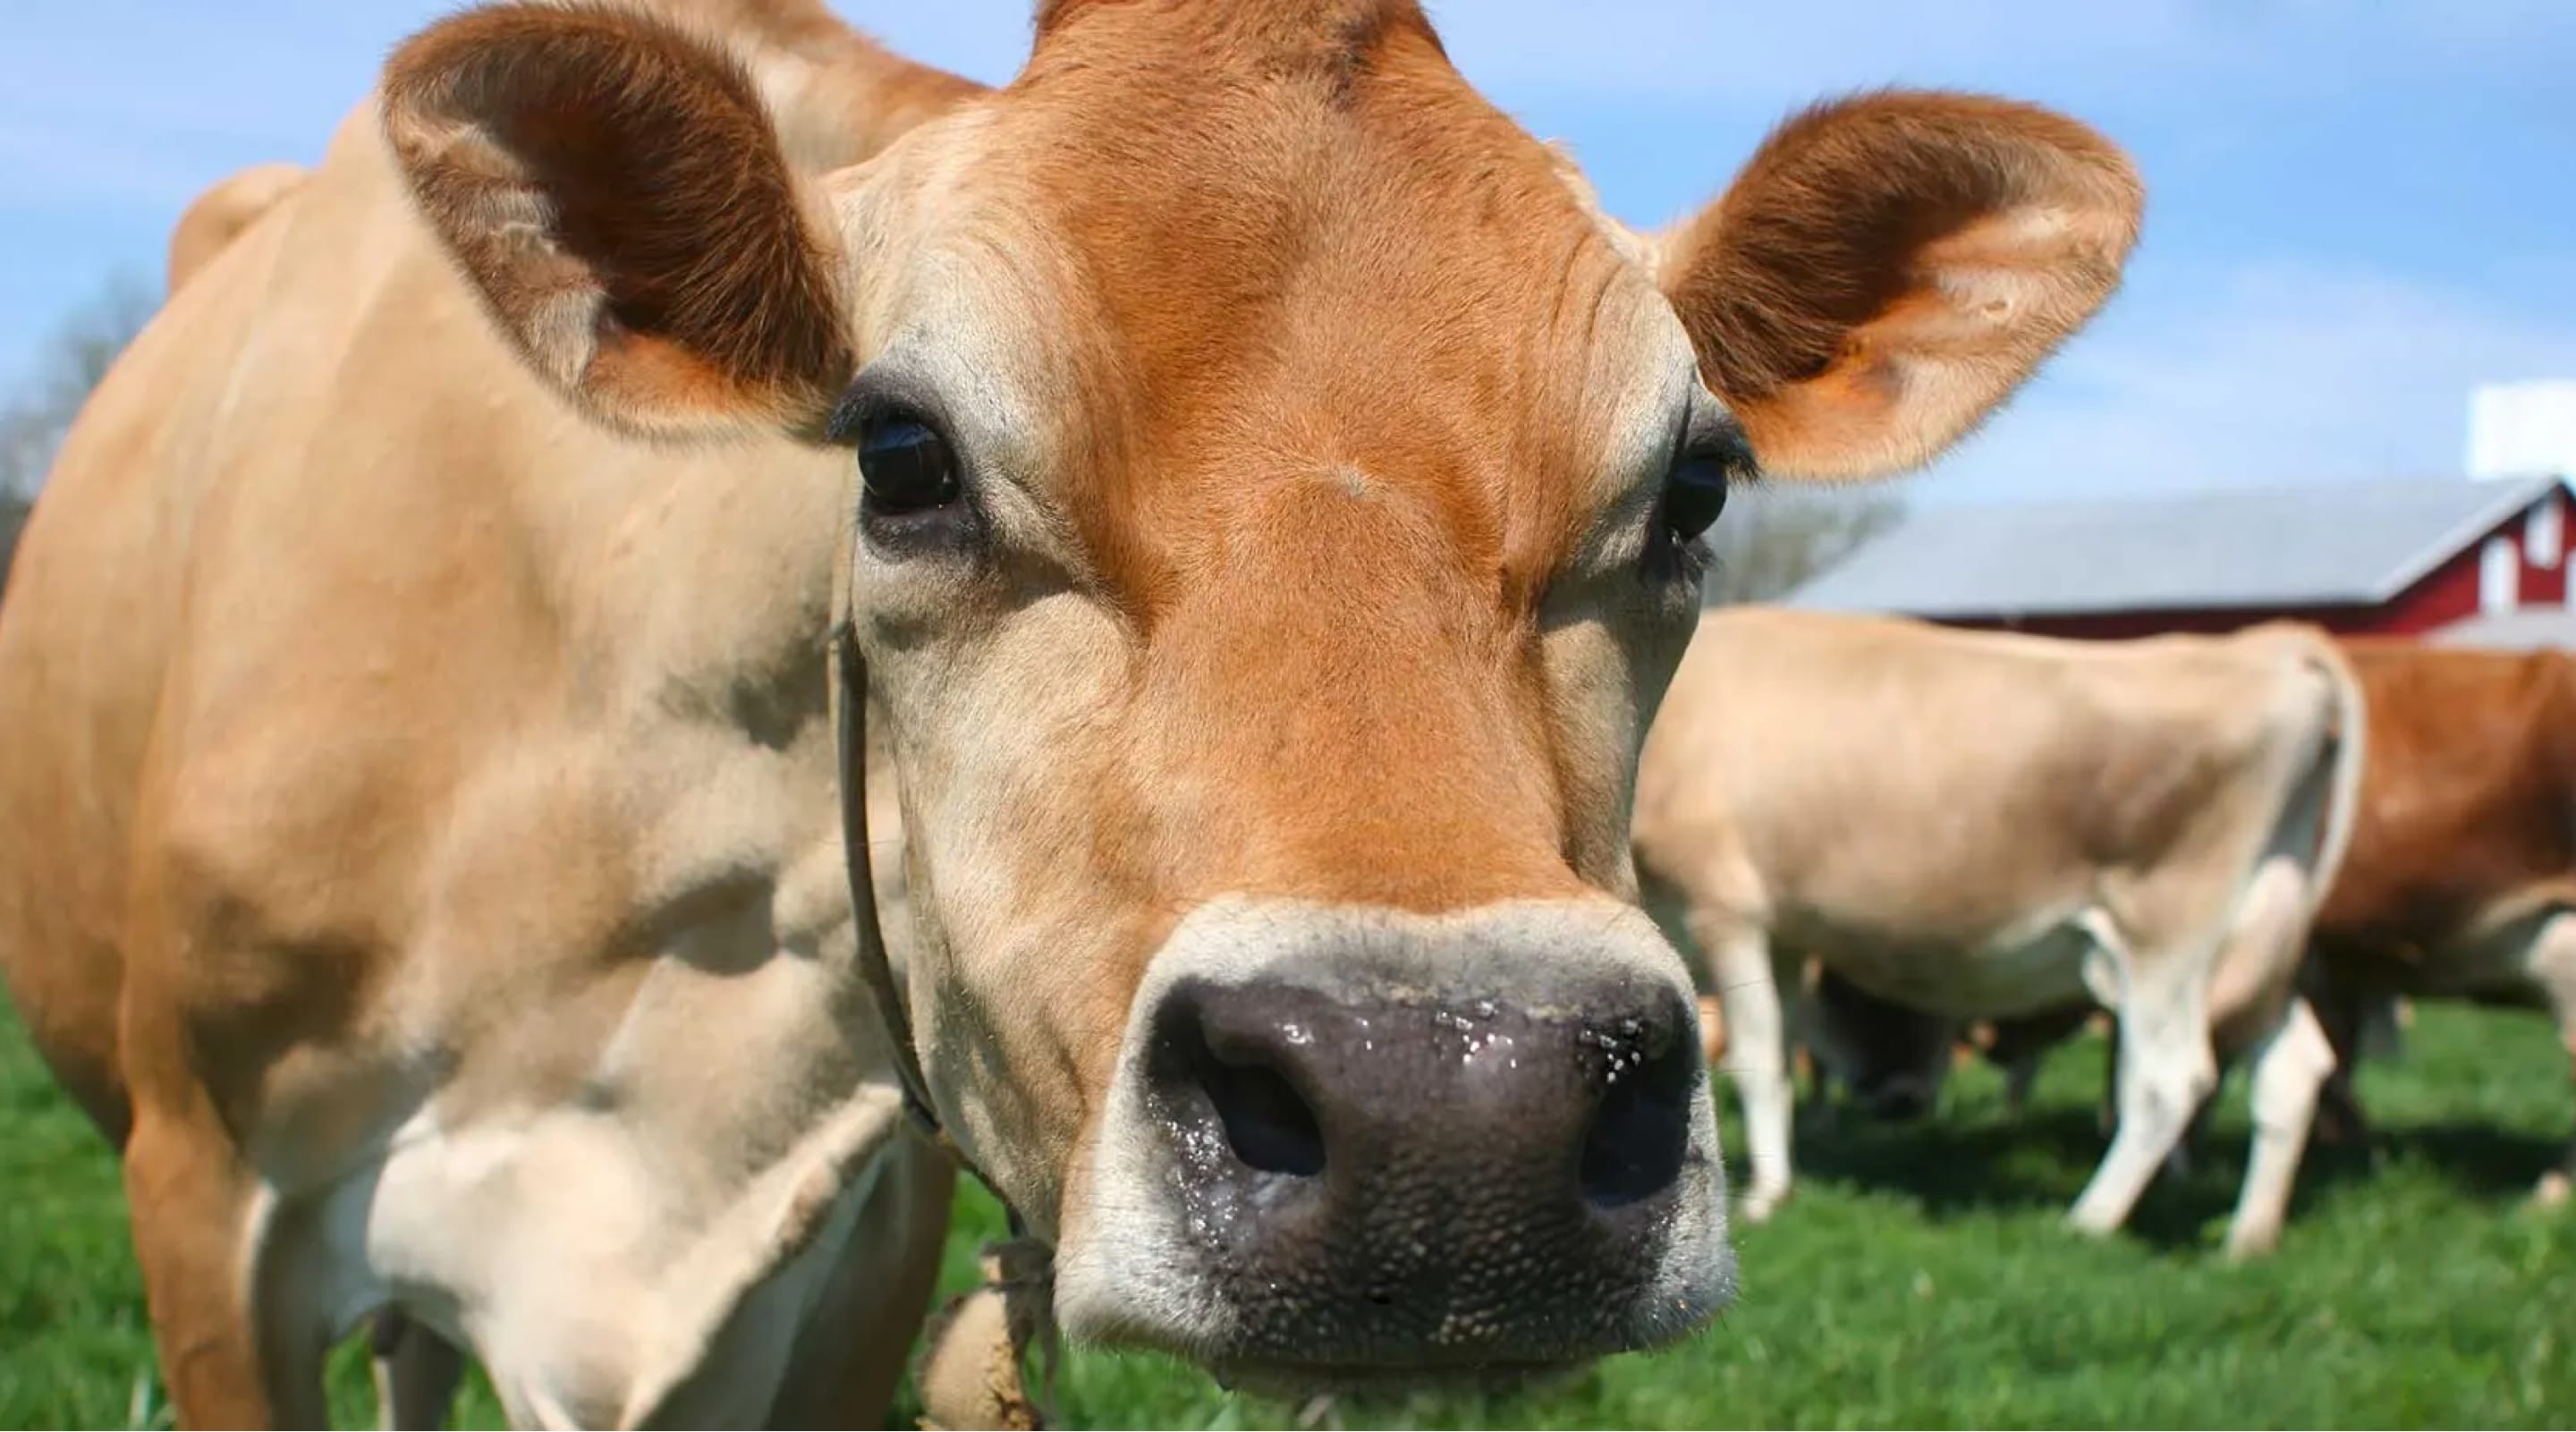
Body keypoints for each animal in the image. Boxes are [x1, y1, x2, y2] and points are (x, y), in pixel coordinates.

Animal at [1638, 610, 2360, 1257]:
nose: (1899, 1100)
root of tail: (2272, 646)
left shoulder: (1725, 907)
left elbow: (1758, 1058)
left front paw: (1764, 1196)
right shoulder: (1785, 927)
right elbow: (1784, 1053)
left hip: (2167, 932)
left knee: (2168, 1079)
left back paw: (2088, 1220)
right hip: (2259, 935)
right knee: (2292, 1068)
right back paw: (2248, 1236)